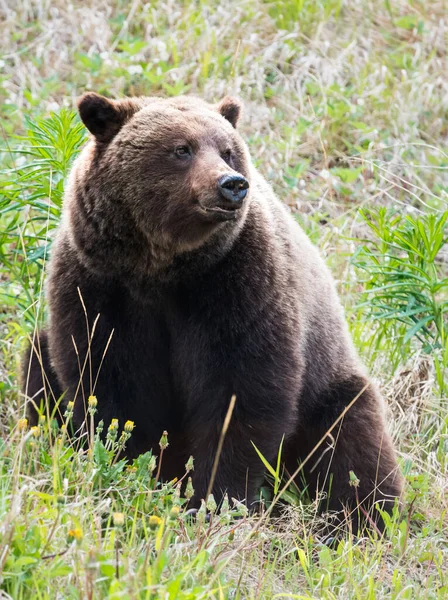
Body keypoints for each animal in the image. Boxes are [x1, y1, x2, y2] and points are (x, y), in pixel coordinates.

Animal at [23, 91, 402, 532]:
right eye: (181, 149)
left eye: (227, 150)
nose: (232, 184)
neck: (161, 269)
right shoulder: (99, 285)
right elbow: (108, 383)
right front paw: (130, 468)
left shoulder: (236, 285)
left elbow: (238, 395)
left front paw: (212, 498)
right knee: (37, 364)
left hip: (329, 382)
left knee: (350, 443)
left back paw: (358, 518)